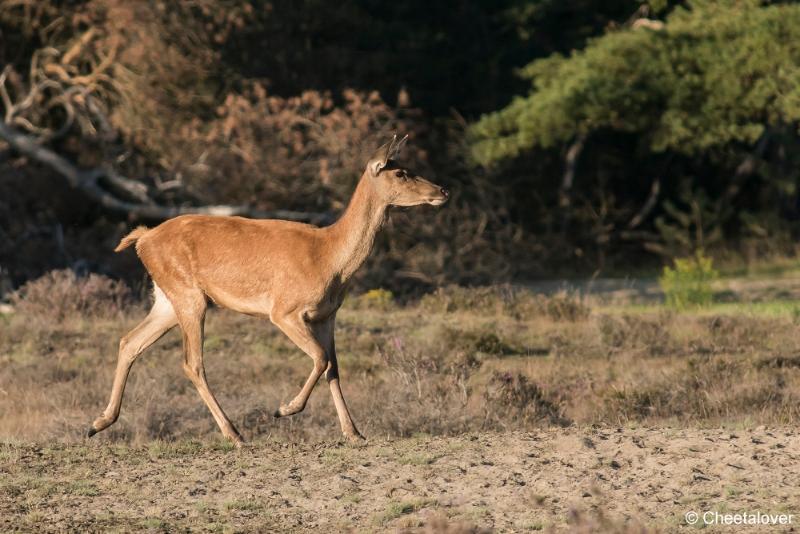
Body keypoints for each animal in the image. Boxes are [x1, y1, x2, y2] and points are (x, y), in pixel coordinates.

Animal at [90, 136, 450, 446]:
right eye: (400, 172)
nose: (443, 190)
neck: (330, 258)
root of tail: (143, 238)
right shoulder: (285, 310)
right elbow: (320, 359)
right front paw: (285, 409)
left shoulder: (327, 315)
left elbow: (333, 368)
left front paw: (353, 432)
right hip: (188, 295)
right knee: (192, 363)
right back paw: (234, 434)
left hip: (167, 298)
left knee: (130, 341)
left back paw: (99, 423)